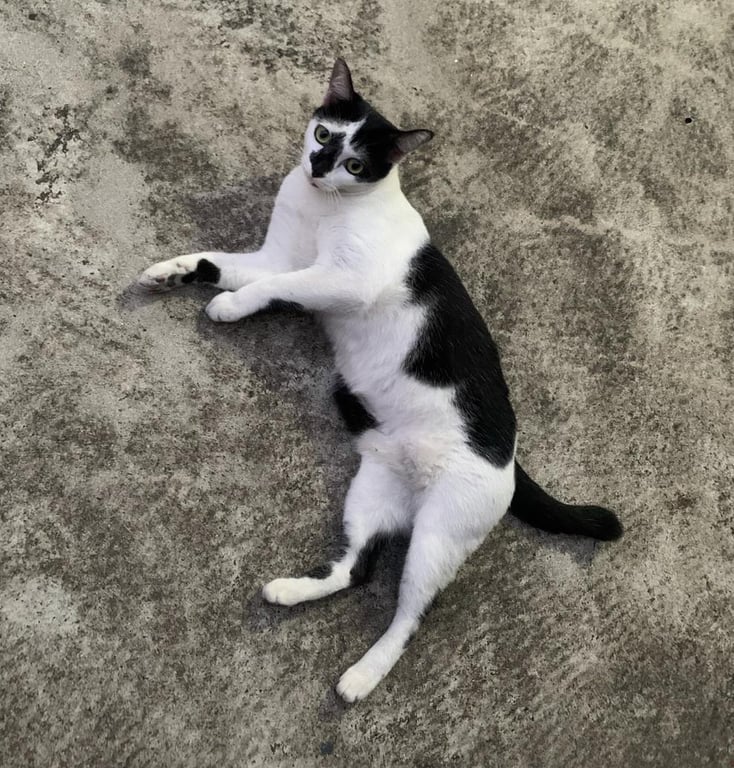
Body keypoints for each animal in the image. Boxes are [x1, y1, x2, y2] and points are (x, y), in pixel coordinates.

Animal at [137, 58, 623, 702]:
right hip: (371, 492)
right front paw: (169, 272)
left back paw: (363, 676)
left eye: (355, 164)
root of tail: (511, 459)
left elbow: (270, 288)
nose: (318, 166)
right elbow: (218, 261)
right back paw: (289, 591)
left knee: (411, 615)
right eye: (323, 135)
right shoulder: (276, 257)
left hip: (436, 540)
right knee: (358, 567)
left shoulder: (341, 279)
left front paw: (231, 307)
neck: (324, 206)